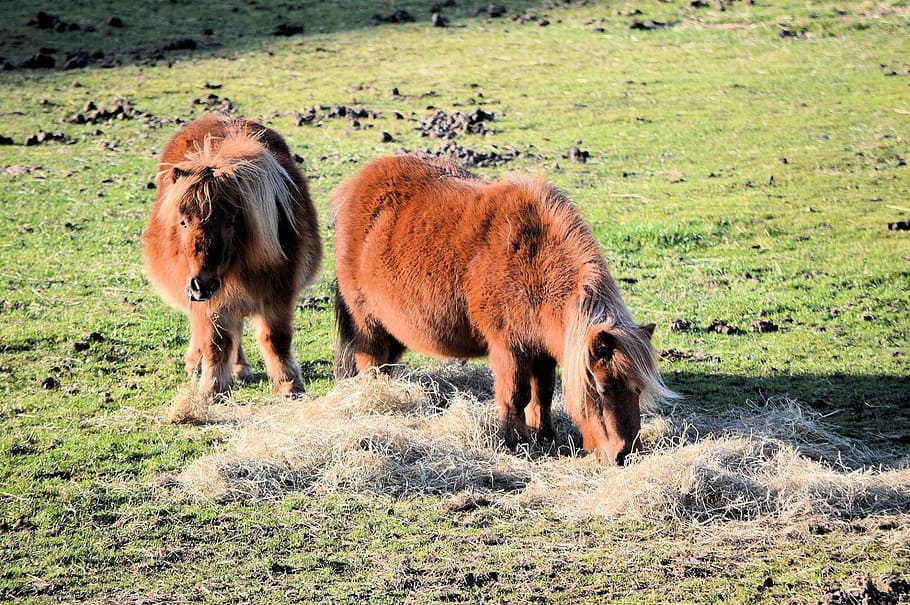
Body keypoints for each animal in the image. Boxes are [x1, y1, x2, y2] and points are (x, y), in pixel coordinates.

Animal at [142, 114, 324, 396]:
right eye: (182, 222)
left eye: (230, 222)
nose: (201, 284)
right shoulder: (211, 302)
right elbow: (216, 342)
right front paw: (212, 390)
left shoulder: (278, 292)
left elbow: (276, 339)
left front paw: (290, 386)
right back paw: (198, 365)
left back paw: (239, 368)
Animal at [334, 155, 676, 462]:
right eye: (604, 389)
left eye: (637, 390)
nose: (624, 455)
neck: (535, 265)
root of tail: (354, 187)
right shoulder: (510, 349)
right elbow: (516, 395)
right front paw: (515, 441)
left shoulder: (542, 349)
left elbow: (543, 392)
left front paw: (545, 435)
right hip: (367, 322)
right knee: (370, 364)